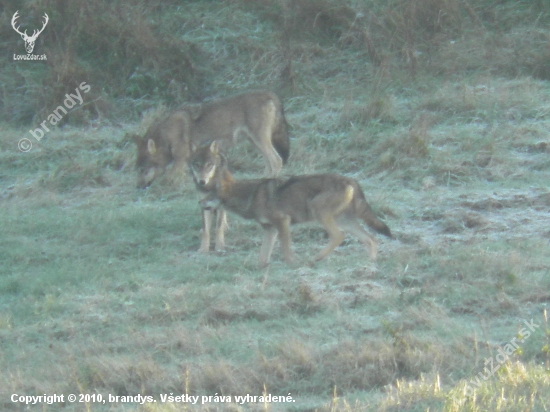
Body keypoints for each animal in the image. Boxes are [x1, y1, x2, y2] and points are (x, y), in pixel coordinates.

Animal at [133, 90, 292, 188]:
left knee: (276, 160)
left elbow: (169, 178)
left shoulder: (180, 159)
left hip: (260, 141)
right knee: (269, 163)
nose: (138, 187)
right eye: (138, 170)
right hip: (255, 142)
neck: (166, 135)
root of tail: (269, 93)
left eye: (143, 170)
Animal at [192, 140, 394, 266]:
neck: (250, 195)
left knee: (340, 236)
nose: (199, 203)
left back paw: (315, 259)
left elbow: (286, 252)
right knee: (371, 238)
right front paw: (263, 267)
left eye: (209, 194)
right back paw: (370, 264)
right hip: (345, 221)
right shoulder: (270, 229)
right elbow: (262, 258)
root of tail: (351, 180)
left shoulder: (283, 222)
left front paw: (292, 264)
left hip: (321, 213)